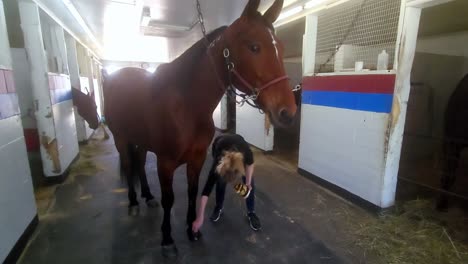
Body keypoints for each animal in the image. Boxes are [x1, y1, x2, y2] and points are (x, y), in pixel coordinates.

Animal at [104, 0, 298, 256]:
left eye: (282, 48)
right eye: (254, 47)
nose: (288, 111)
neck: (187, 104)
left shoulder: (197, 159)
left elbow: (192, 192)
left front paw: (192, 228)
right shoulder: (165, 163)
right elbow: (169, 199)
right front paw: (167, 240)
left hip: (141, 141)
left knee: (140, 165)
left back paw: (147, 196)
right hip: (121, 138)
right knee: (129, 165)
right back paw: (135, 202)